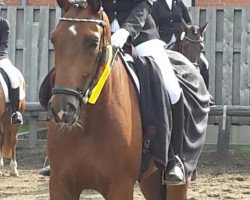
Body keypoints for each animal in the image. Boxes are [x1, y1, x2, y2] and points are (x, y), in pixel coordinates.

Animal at [46, 0, 210, 200]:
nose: (62, 110)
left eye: (93, 43)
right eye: (54, 39)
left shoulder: (120, 187)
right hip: (151, 179)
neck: (89, 124)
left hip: (179, 181)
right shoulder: (60, 186)